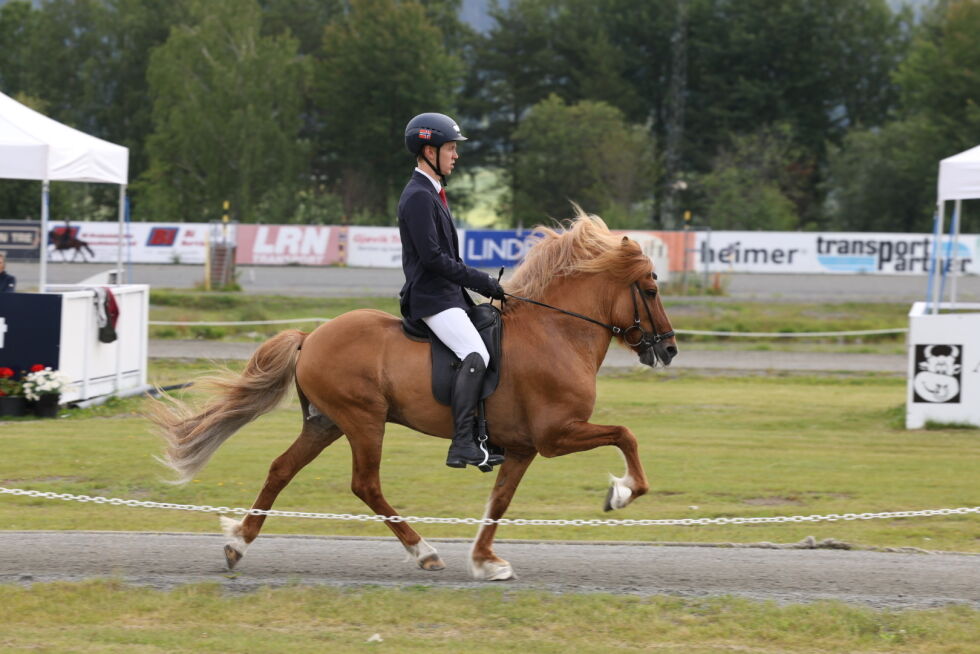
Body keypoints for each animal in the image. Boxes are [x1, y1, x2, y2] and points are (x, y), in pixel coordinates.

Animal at [153, 209, 676, 580]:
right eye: (650, 290)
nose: (669, 349)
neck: (557, 332)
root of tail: (312, 337)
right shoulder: (556, 435)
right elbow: (625, 434)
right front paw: (622, 493)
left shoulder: (525, 447)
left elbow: (500, 501)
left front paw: (485, 560)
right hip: (363, 420)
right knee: (366, 484)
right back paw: (422, 551)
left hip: (325, 422)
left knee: (282, 469)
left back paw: (238, 543)